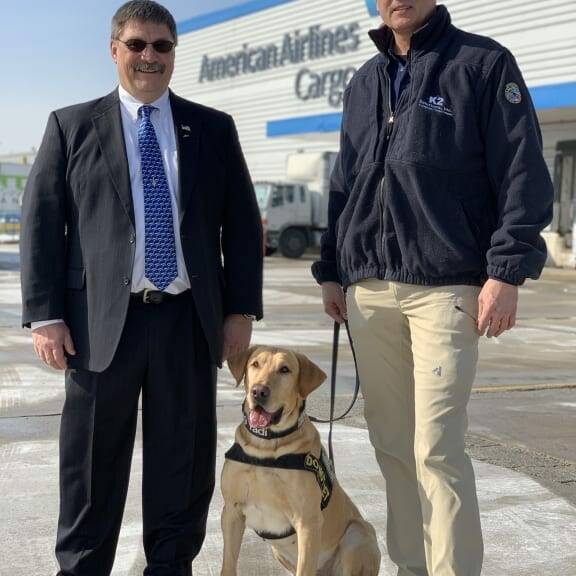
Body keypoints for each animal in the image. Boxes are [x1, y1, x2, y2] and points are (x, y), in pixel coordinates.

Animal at [218, 346, 380, 576]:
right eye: (255, 364)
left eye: (285, 369)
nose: (258, 391)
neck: (267, 446)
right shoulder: (232, 512)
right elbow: (228, 564)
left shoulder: (307, 522)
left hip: (359, 533)